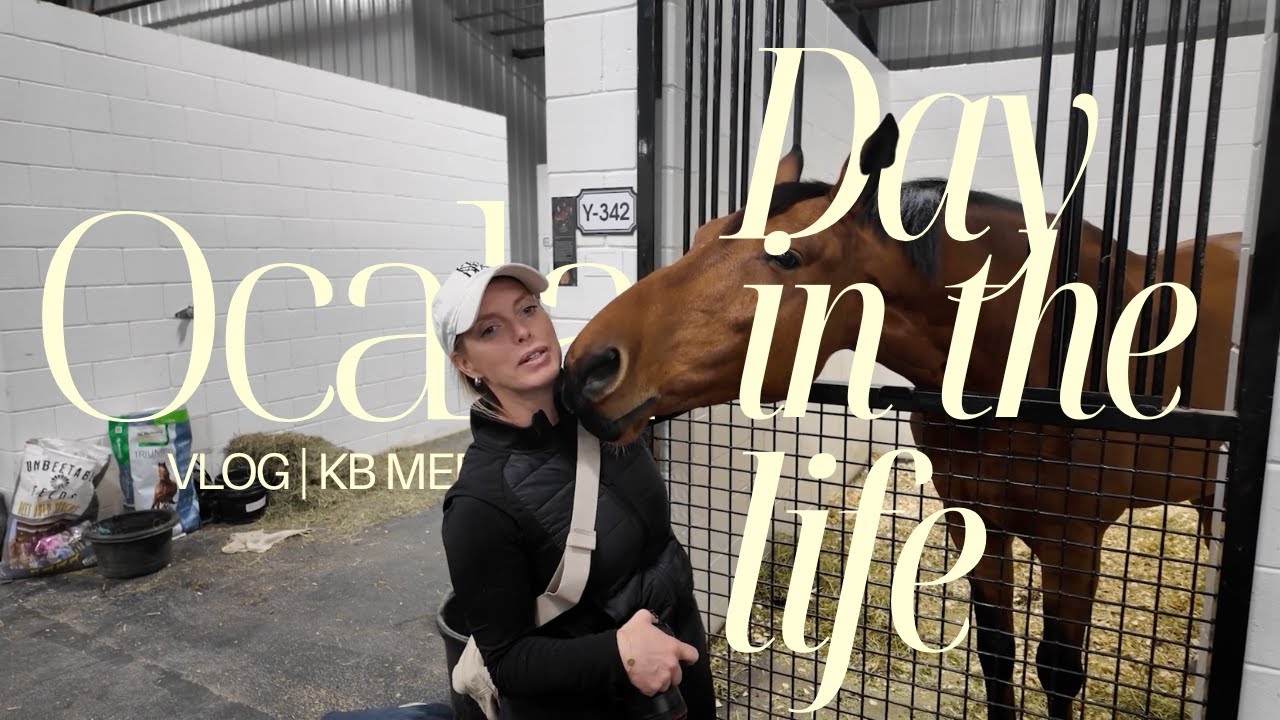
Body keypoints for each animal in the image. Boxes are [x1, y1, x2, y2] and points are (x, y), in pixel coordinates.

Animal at [558, 113, 1242, 720]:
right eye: (701, 234)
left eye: (788, 257)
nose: (588, 366)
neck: (1030, 348)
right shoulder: (974, 523)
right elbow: (997, 654)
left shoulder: (1072, 542)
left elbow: (1057, 672)